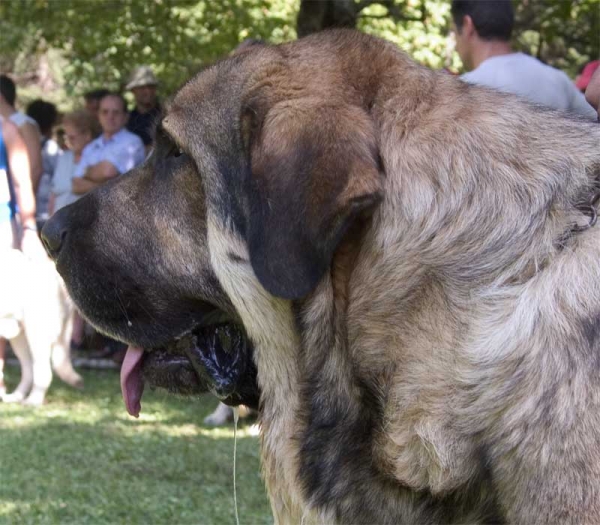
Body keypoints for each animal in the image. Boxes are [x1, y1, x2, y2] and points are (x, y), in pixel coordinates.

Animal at [0, 250, 82, 406]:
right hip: (19, 337)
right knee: (29, 371)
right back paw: (17, 396)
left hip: (36, 334)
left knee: (43, 372)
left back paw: (33, 400)